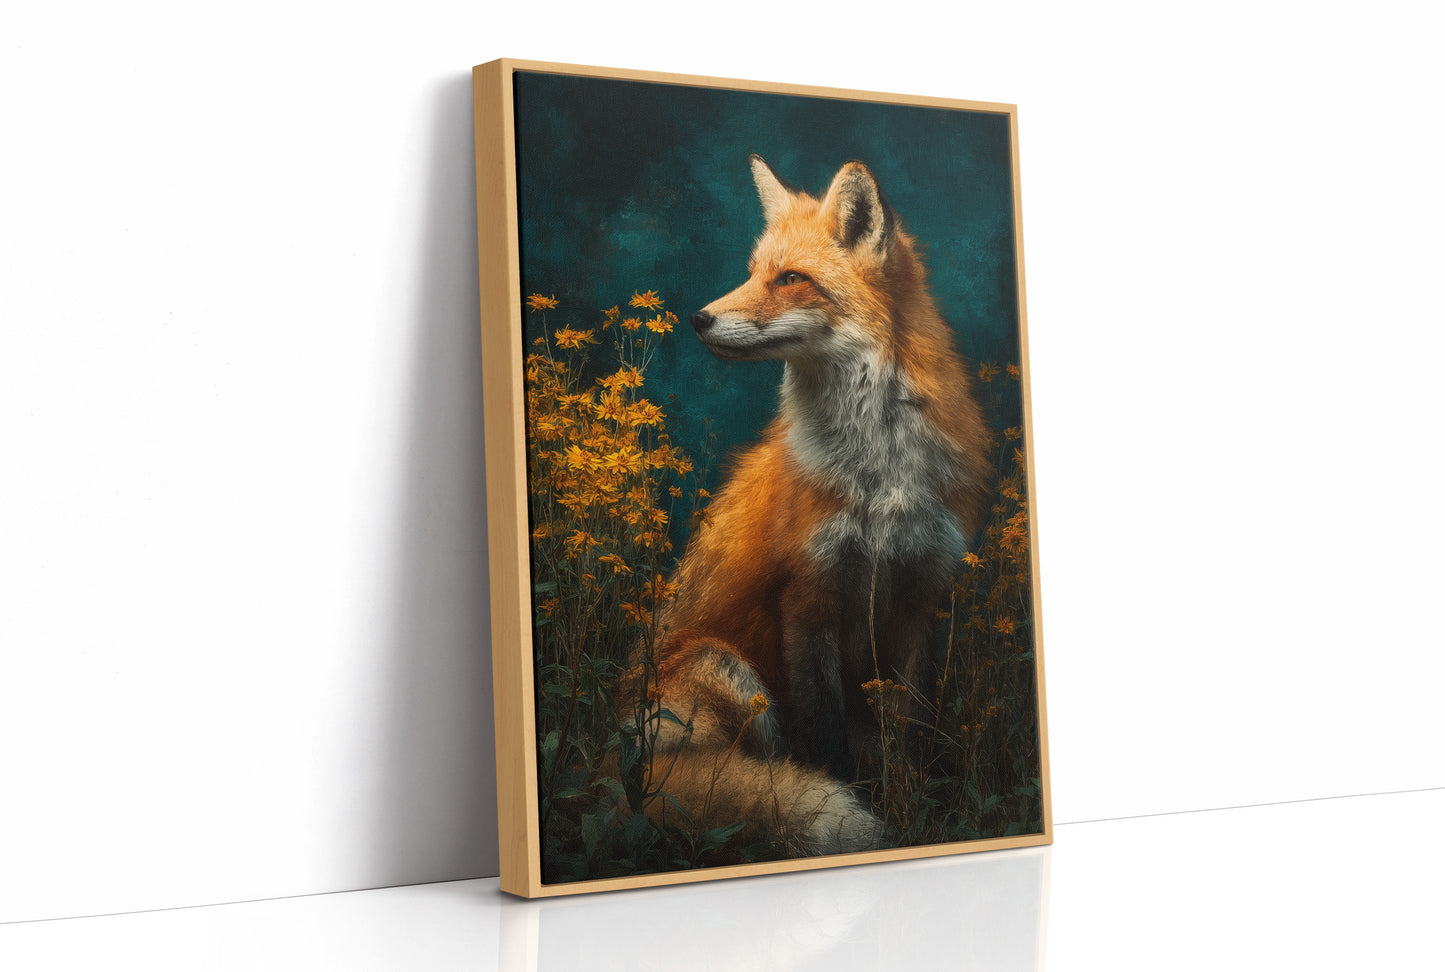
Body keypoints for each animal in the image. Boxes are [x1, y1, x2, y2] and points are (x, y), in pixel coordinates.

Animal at [620, 156, 993, 856]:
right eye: (751, 271)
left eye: (791, 279)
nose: (698, 318)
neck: (878, 475)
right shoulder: (807, 594)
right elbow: (823, 739)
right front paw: (856, 808)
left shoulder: (918, 595)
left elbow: (909, 729)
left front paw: (908, 811)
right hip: (728, 670)